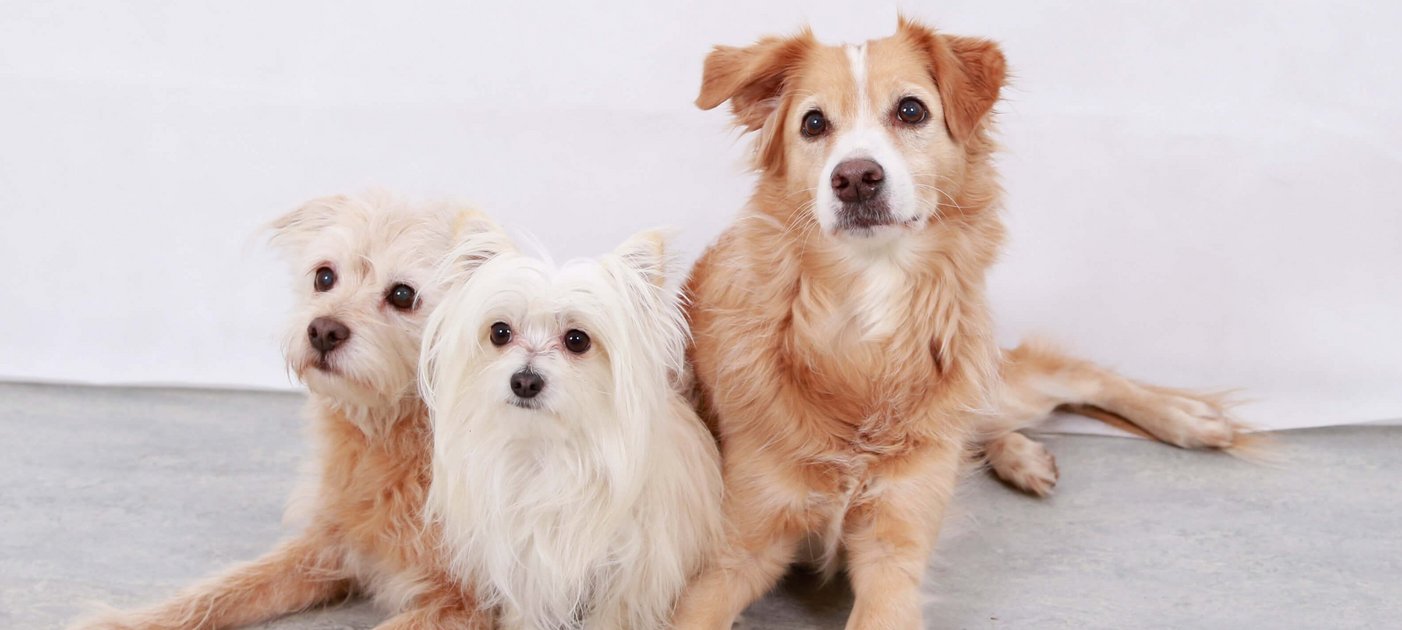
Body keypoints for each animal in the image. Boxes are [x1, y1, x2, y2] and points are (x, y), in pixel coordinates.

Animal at [78, 192, 493, 628]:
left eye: (402, 295)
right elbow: (221, 590)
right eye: (324, 277)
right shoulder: (323, 549)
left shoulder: (464, 605)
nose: (323, 331)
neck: (388, 434)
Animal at [414, 217, 723, 628]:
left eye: (577, 340)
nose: (525, 381)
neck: (548, 452)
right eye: (500, 332)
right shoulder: (527, 571)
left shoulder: (628, 579)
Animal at [672, 17, 1244, 625]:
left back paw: (1191, 419)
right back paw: (1023, 454)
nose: (855, 177)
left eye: (911, 110)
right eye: (813, 123)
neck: (865, 309)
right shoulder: (734, 552)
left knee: (1074, 375)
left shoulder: (895, 549)